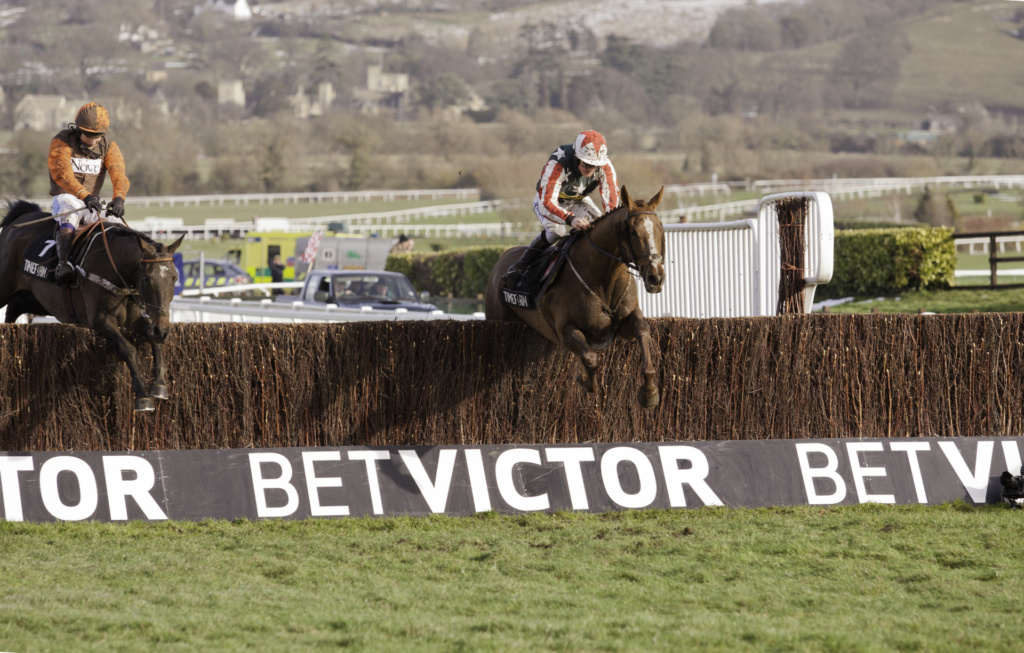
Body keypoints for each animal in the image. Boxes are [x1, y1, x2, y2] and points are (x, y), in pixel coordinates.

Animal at [0, 202, 182, 411]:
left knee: (14, 307)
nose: (163, 329)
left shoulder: (139, 317)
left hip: (37, 299)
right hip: (6, 286)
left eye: (174, 277)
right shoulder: (99, 319)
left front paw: (160, 384)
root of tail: (18, 219)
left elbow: (154, 341)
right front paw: (142, 396)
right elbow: (128, 349)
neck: (116, 270)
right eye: (146, 278)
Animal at [485, 185, 667, 409]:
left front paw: (650, 392)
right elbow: (590, 357)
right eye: (632, 231)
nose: (655, 278)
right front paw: (586, 380)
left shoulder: (625, 321)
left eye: (660, 229)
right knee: (552, 231)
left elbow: (642, 329)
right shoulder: (565, 331)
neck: (604, 279)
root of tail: (500, 261)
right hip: (498, 317)